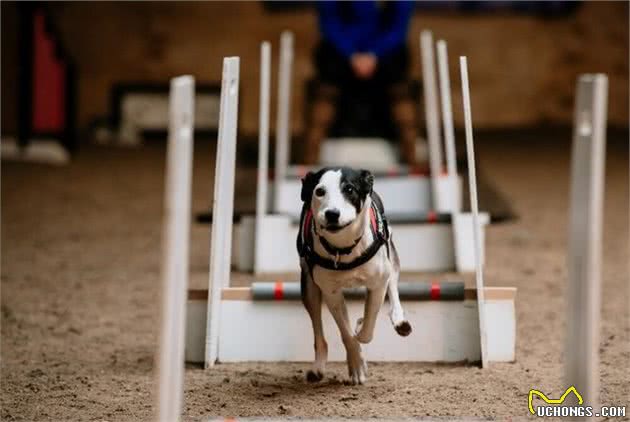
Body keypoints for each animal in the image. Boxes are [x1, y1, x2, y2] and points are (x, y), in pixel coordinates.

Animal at [298, 166, 412, 384]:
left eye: (349, 189)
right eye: (319, 191)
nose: (332, 214)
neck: (344, 247)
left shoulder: (377, 283)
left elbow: (368, 325)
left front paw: (360, 328)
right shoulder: (330, 292)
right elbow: (346, 333)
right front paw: (357, 365)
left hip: (390, 251)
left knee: (393, 283)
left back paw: (399, 320)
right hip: (308, 282)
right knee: (317, 326)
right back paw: (317, 368)